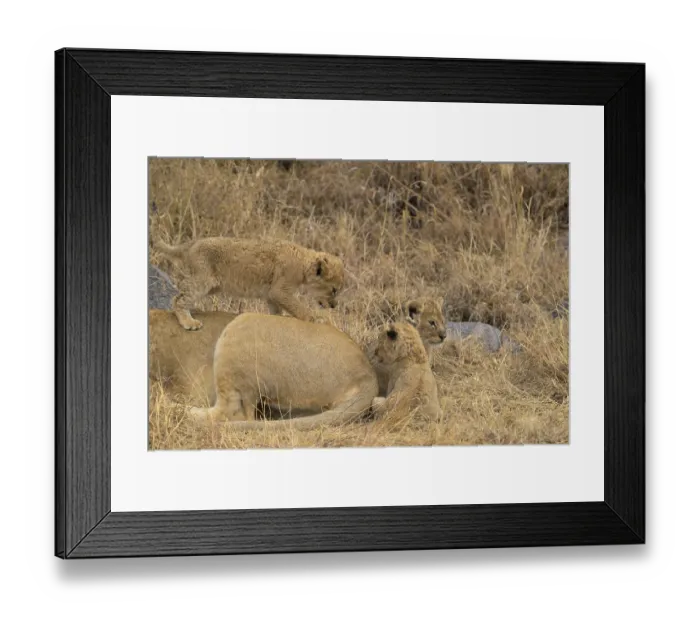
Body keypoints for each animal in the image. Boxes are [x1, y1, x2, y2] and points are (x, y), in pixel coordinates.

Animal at [154, 237, 345, 331]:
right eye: (334, 290)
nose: (334, 305)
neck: (304, 262)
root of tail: (190, 244)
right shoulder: (280, 291)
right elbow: (299, 307)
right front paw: (315, 319)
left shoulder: (271, 295)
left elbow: (277, 312)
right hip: (203, 282)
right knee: (177, 299)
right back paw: (189, 322)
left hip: (210, 285)